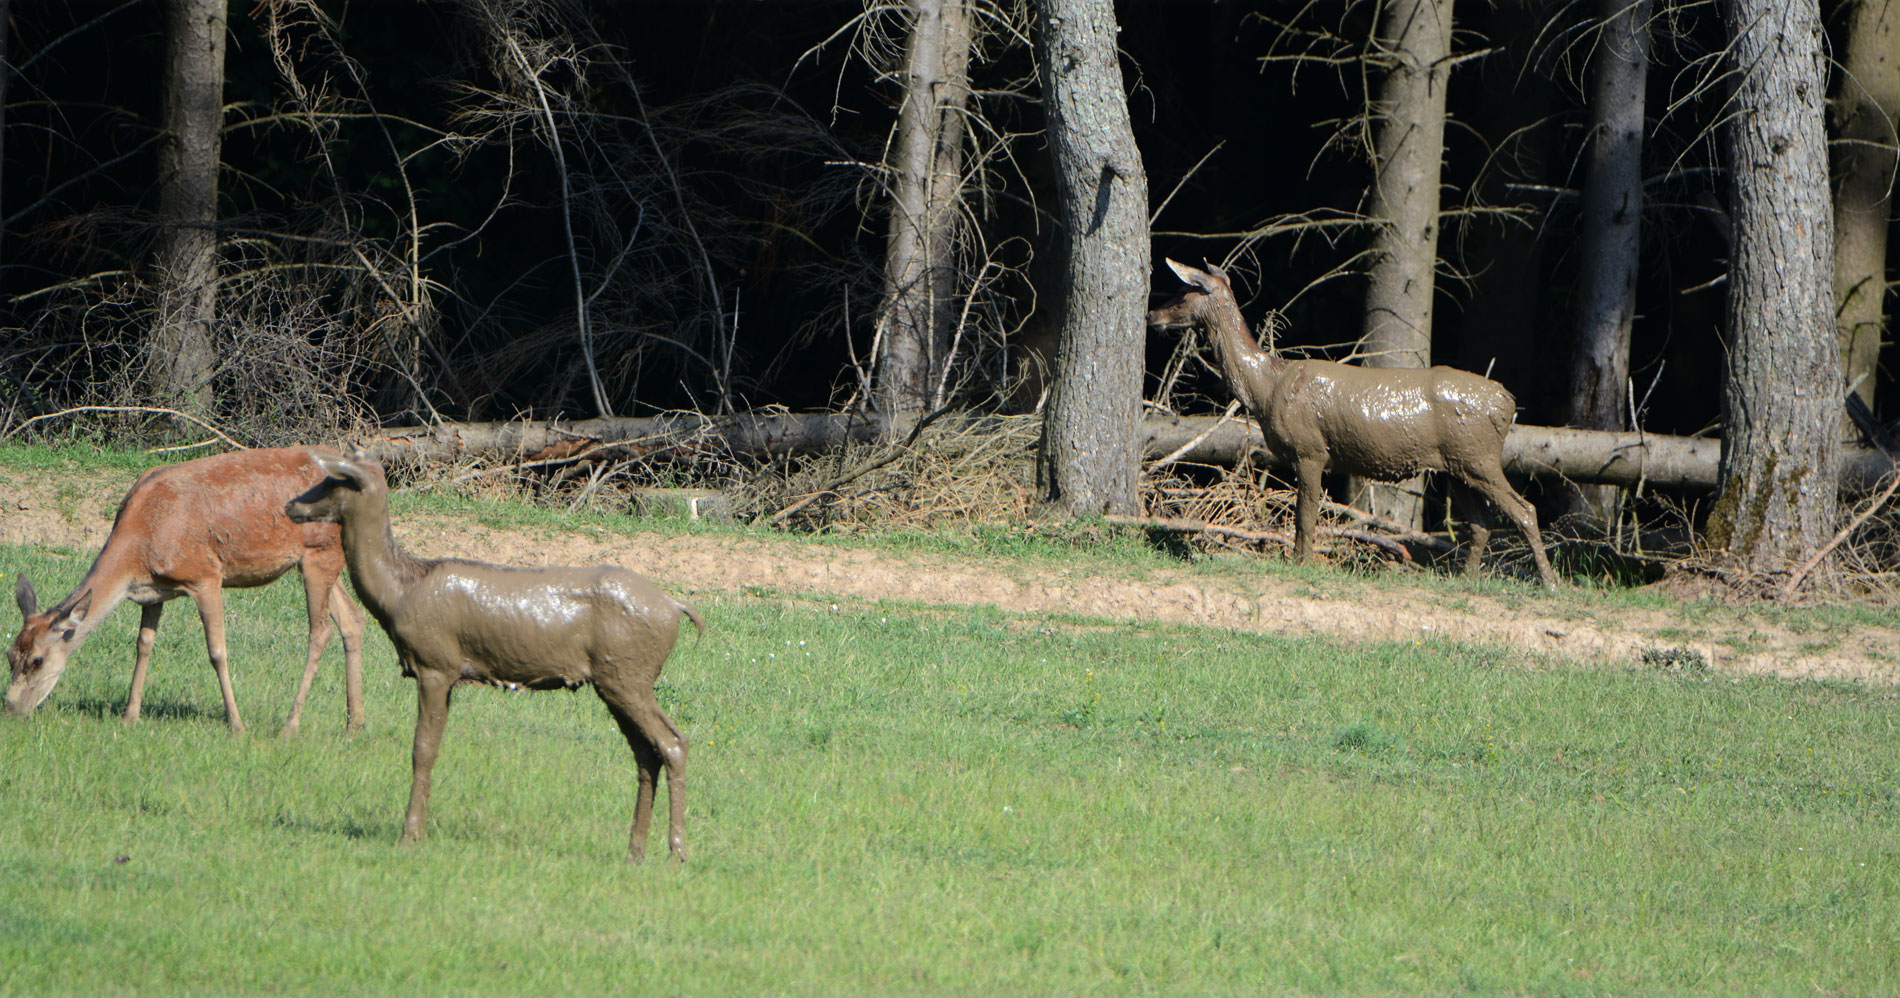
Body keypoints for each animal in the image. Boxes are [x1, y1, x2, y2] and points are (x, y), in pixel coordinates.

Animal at [6, 446, 366, 726]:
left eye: (37, 660)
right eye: (9, 654)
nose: (10, 708)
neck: (141, 545)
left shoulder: (204, 574)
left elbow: (217, 651)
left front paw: (236, 724)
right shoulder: (152, 593)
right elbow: (143, 645)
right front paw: (129, 716)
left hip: (320, 549)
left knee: (320, 630)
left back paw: (291, 724)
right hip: (316, 560)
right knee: (352, 619)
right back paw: (354, 724)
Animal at [288, 450, 714, 863]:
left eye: (333, 480)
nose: (292, 505)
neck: (400, 592)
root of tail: (675, 608)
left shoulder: (435, 663)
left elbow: (422, 750)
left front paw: (410, 835)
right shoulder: (447, 672)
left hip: (630, 674)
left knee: (673, 742)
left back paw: (677, 853)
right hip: (615, 679)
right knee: (646, 753)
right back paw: (635, 851)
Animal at [1147, 256, 1550, 589]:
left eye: (1183, 292)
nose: (1152, 315)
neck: (1266, 388)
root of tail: (1507, 402)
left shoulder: (1310, 449)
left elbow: (1305, 514)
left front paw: (1302, 564)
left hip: (1479, 455)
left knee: (1525, 510)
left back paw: (1550, 582)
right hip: (1456, 466)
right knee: (1482, 521)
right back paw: (1466, 578)